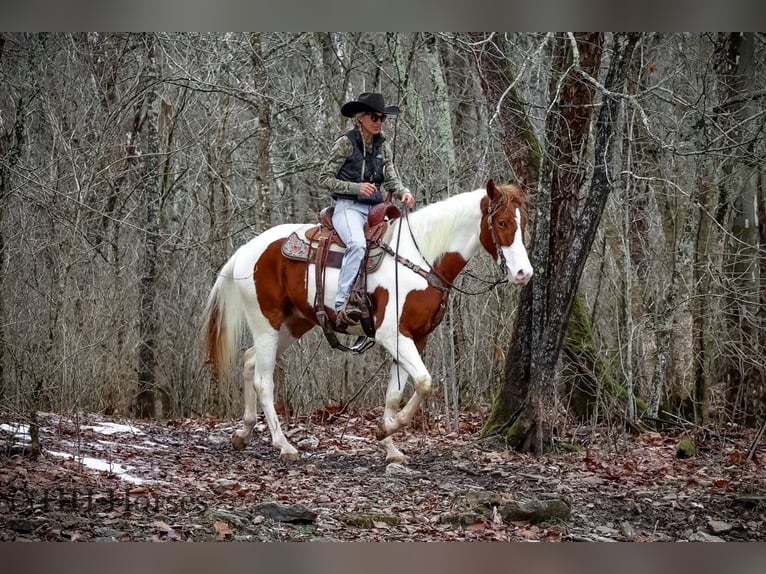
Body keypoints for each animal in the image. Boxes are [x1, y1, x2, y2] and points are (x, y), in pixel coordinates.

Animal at [203, 179, 533, 463]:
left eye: (524, 222)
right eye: (502, 223)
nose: (523, 274)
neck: (421, 258)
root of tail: (245, 251)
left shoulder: (415, 338)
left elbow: (395, 394)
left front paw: (389, 445)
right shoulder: (393, 335)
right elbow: (424, 382)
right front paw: (387, 429)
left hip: (292, 324)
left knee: (248, 361)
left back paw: (243, 433)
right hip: (266, 323)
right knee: (263, 380)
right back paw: (283, 445)